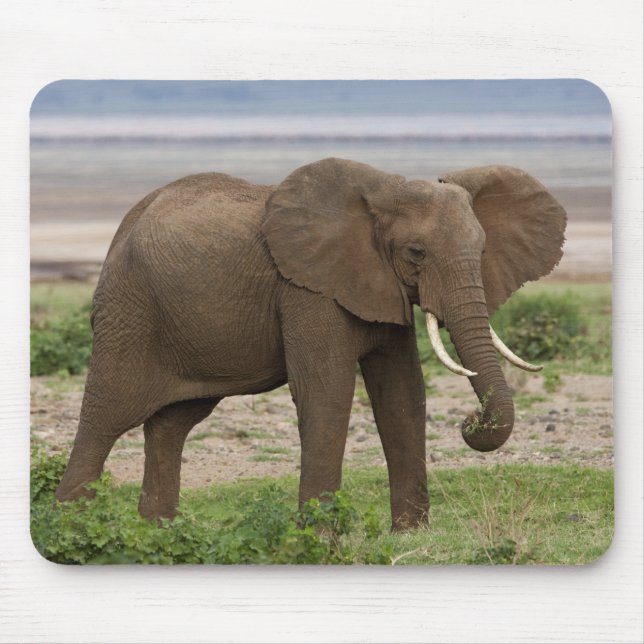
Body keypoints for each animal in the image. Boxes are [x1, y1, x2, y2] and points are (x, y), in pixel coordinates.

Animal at [55, 157, 566, 530]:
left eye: (482, 251)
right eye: (416, 253)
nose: (470, 421)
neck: (384, 193)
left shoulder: (378, 287)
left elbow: (402, 394)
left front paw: (411, 536)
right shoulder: (305, 289)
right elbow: (327, 391)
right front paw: (319, 539)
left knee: (171, 424)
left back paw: (158, 533)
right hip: (129, 312)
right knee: (106, 416)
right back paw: (74, 531)